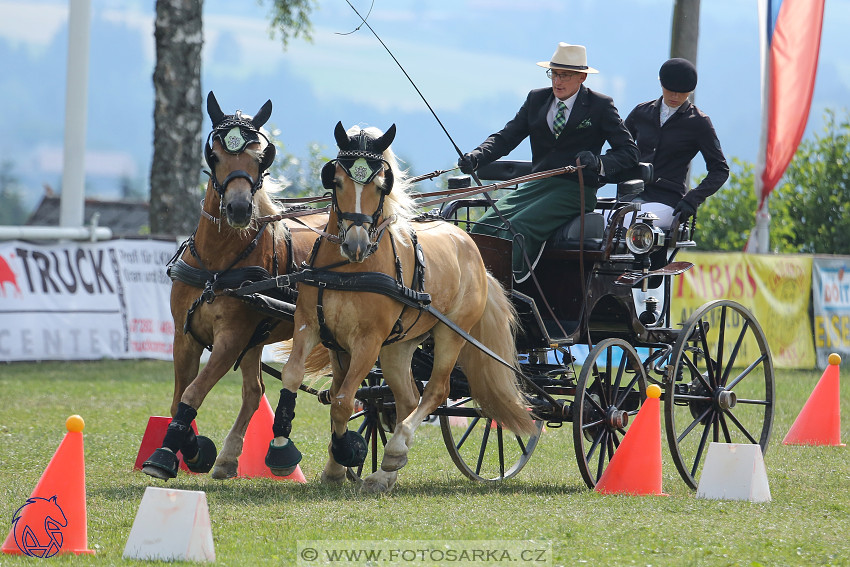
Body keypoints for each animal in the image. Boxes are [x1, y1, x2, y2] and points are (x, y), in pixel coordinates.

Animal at [141, 91, 326, 482]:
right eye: (214, 154)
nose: (239, 209)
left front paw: (164, 456)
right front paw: (194, 451)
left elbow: (193, 393)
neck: (216, 266)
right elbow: (178, 398)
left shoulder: (231, 339)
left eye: (261, 155)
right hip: (256, 339)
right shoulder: (185, 336)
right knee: (254, 392)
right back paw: (228, 458)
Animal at [264, 123, 532, 492]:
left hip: (449, 334)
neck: (348, 271)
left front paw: (346, 450)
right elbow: (302, 380)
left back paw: (394, 450)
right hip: (398, 346)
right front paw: (288, 450)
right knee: (407, 397)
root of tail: (471, 247)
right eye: (337, 181)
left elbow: (343, 401)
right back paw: (385, 472)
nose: (356, 244)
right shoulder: (313, 327)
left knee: (435, 391)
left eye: (380, 186)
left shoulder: (368, 341)